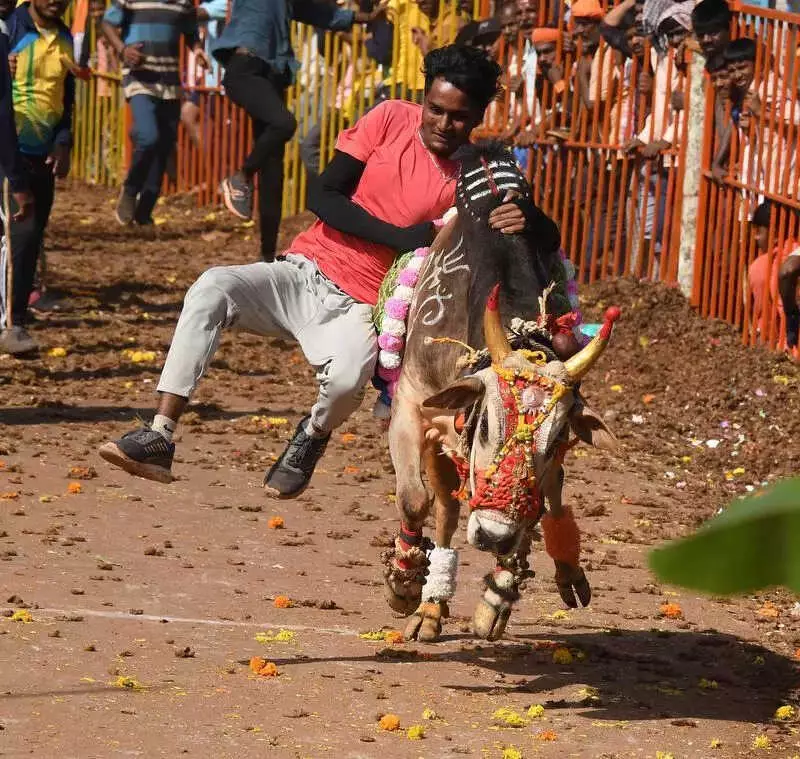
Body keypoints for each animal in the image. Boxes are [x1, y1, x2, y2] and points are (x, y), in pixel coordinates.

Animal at [380, 143, 619, 642]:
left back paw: (557, 572)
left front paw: (497, 596)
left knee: (551, 500)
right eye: (488, 424)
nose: (492, 535)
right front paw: (404, 585)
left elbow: (534, 504)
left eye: (554, 436)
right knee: (446, 511)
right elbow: (415, 499)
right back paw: (429, 604)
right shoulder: (413, 405)